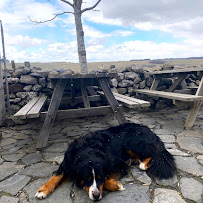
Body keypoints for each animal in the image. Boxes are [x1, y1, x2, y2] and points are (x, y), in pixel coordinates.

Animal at [35, 123, 177, 201]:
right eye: (86, 179)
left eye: (100, 177)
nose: (96, 196)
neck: (87, 150)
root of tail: (149, 130)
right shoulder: (67, 162)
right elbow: (56, 176)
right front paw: (43, 190)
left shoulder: (118, 164)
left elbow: (107, 180)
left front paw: (116, 185)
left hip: (133, 142)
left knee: (156, 153)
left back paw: (143, 163)